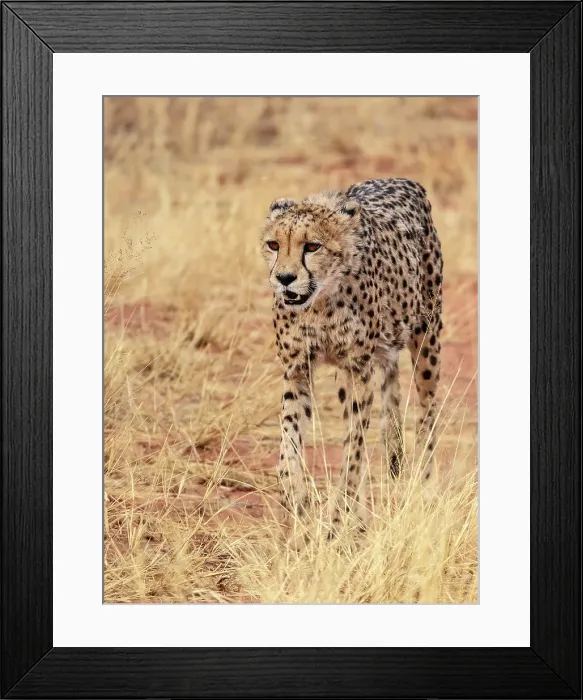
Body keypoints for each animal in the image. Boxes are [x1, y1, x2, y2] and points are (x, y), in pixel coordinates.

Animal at [260, 178, 443, 536]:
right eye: (273, 244)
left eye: (312, 246)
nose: (284, 278)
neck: (320, 301)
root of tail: (405, 181)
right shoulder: (297, 369)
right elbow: (288, 441)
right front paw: (295, 497)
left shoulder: (359, 369)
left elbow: (354, 454)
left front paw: (335, 521)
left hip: (426, 338)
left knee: (427, 417)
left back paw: (426, 491)